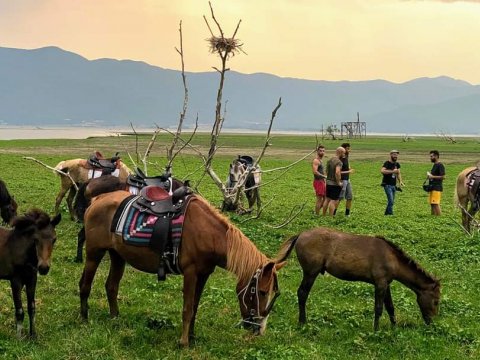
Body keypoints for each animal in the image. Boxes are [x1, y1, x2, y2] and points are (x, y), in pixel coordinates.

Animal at [0, 208, 62, 338]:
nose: (44, 268)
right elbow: (19, 310)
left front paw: (33, 335)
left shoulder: (32, 279)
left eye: (54, 239)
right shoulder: (16, 280)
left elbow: (31, 307)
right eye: (36, 239)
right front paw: (19, 338)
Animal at [276, 226, 440, 330]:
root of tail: (301, 234)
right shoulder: (380, 284)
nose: (431, 323)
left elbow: (390, 307)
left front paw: (394, 327)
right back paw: (302, 322)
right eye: (436, 301)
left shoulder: (386, 283)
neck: (391, 257)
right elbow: (379, 308)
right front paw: (376, 330)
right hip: (311, 272)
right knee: (302, 293)